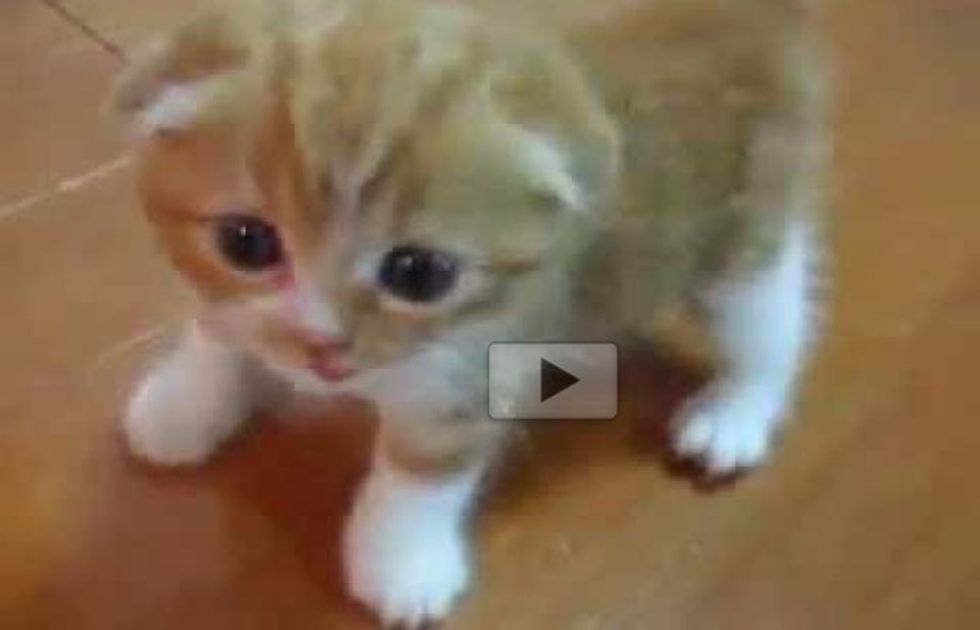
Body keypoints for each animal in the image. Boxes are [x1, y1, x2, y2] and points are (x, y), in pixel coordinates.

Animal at [113, 0, 828, 628]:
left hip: (745, 226)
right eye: (246, 243)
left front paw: (400, 562)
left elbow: (424, 464)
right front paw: (185, 400)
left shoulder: (490, 350)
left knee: (770, 312)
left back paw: (734, 411)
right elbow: (223, 324)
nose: (324, 346)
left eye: (419, 274)